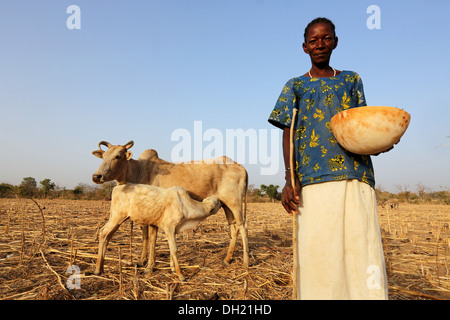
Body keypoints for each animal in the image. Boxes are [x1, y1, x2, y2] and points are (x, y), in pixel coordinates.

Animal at [92, 141, 250, 268]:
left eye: (118, 156)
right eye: (104, 156)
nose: (97, 176)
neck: (137, 170)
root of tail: (241, 167)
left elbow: (152, 237)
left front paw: (150, 265)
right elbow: (145, 236)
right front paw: (142, 261)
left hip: (235, 203)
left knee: (242, 228)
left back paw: (246, 262)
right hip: (226, 205)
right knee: (233, 228)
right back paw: (227, 259)